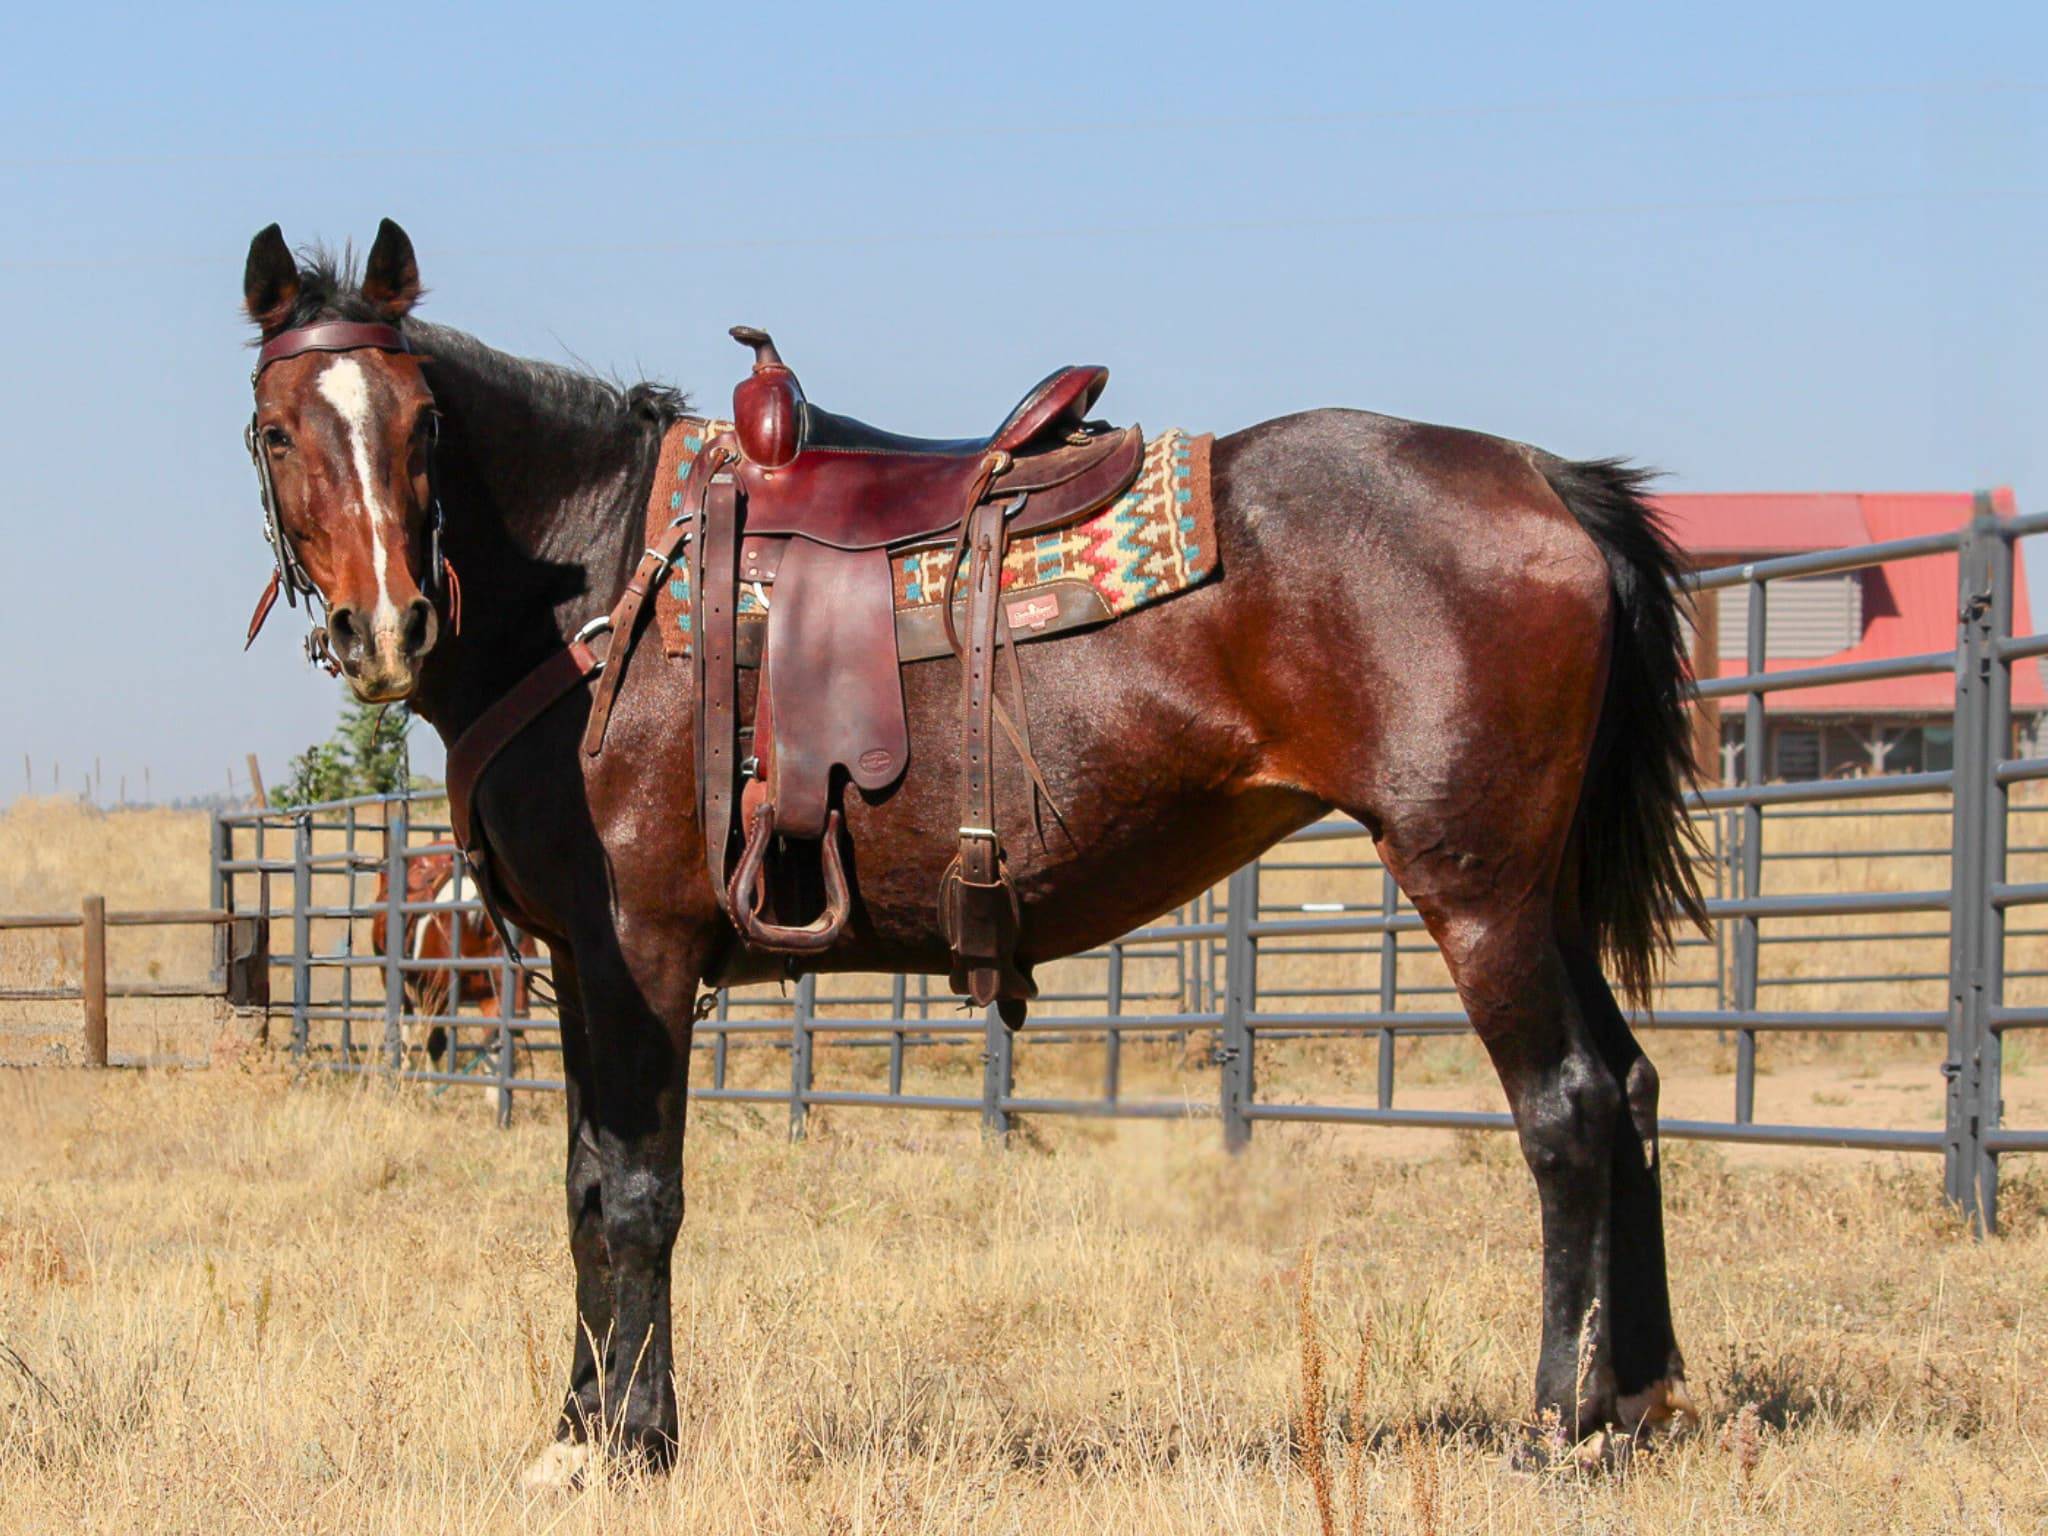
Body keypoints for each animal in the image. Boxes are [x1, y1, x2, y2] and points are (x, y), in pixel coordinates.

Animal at [239, 217, 1703, 1482]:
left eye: (426, 425)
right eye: (276, 428)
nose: (389, 625)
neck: (602, 579)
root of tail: (1545, 480)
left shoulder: (638, 954)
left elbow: (640, 1193)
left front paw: (638, 1444)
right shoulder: (581, 970)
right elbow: (586, 1187)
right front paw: (577, 1436)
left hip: (1477, 892)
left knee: (1568, 1110)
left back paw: (1554, 1427)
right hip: (1542, 894)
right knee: (1631, 1088)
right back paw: (1634, 1400)